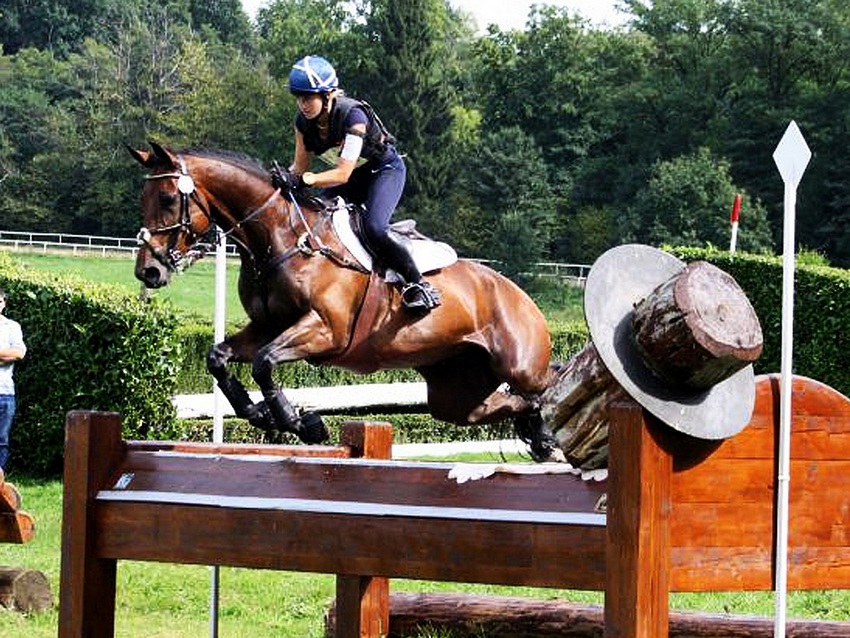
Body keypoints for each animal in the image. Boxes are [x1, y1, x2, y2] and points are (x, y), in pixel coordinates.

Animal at [127, 141, 564, 460]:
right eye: (143, 198)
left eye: (167, 199)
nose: (149, 272)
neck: (280, 237)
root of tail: (519, 294)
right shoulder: (266, 327)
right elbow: (219, 357)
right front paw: (258, 413)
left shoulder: (324, 331)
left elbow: (264, 362)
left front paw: (299, 422)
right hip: (455, 392)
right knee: (504, 403)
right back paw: (538, 437)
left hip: (518, 363)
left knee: (548, 382)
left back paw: (548, 433)